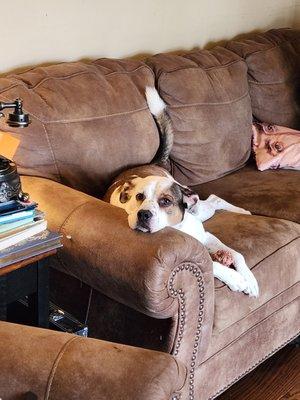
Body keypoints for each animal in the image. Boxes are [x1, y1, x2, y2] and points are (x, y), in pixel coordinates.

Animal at [106, 88, 258, 296]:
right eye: (139, 197)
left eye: (166, 201)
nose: (143, 214)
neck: (178, 227)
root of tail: (152, 164)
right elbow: (211, 264)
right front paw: (235, 278)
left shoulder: (206, 236)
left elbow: (237, 254)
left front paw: (249, 278)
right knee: (214, 199)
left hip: (198, 209)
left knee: (214, 199)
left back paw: (242, 211)